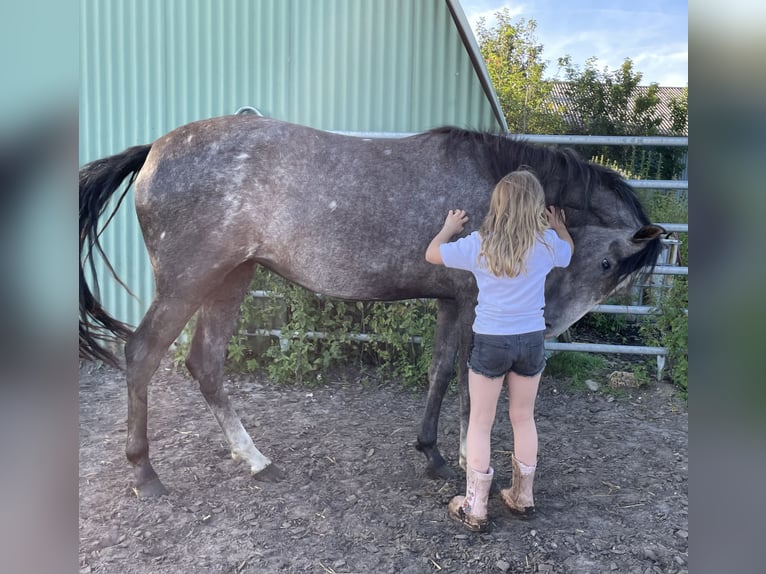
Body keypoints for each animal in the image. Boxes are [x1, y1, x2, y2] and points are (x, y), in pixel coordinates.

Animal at [79, 115, 664, 498]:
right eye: (609, 264)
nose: (549, 321)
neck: (494, 190)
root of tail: (154, 149)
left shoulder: (451, 300)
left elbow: (441, 370)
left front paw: (433, 453)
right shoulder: (473, 298)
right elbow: (471, 382)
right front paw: (465, 458)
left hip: (231, 278)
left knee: (205, 363)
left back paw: (256, 460)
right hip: (188, 283)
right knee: (142, 354)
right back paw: (146, 474)